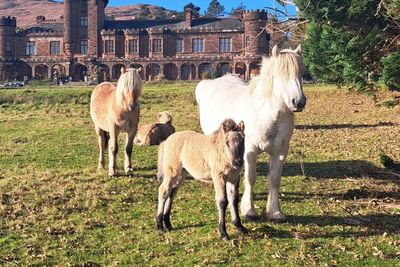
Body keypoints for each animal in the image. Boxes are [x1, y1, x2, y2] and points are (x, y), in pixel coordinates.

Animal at [197, 45, 306, 222]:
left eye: (301, 72)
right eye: (281, 73)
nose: (299, 102)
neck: (266, 114)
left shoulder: (281, 152)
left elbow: (274, 179)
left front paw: (275, 212)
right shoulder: (250, 152)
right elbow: (250, 178)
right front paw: (248, 210)